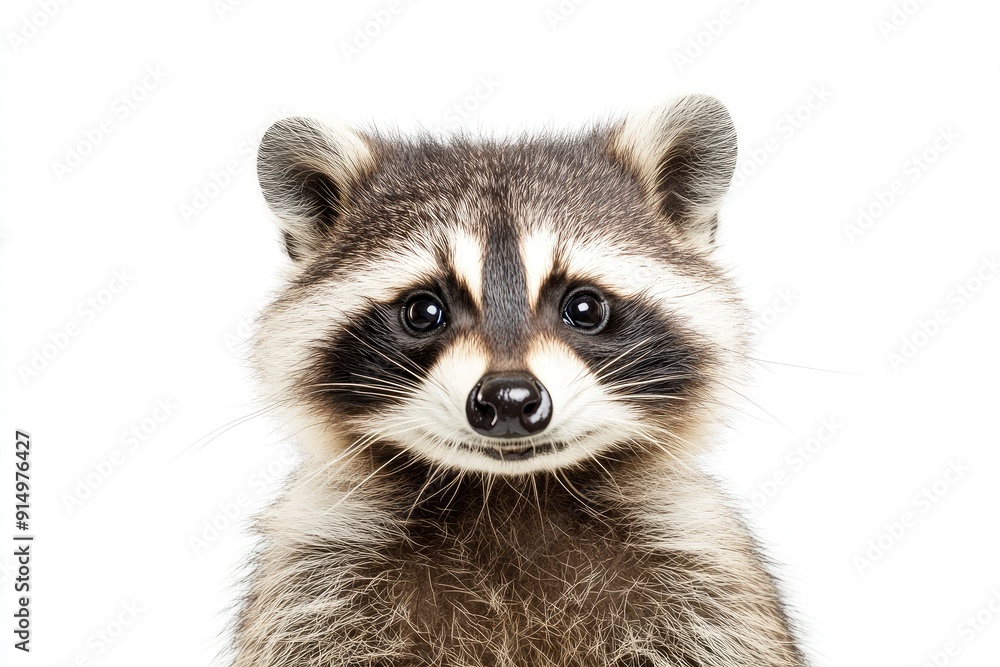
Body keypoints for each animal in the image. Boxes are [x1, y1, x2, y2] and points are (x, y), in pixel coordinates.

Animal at [232, 95, 806, 667]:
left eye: (584, 307)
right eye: (424, 312)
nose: (508, 398)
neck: (510, 497)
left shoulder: (704, 573)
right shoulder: (316, 576)